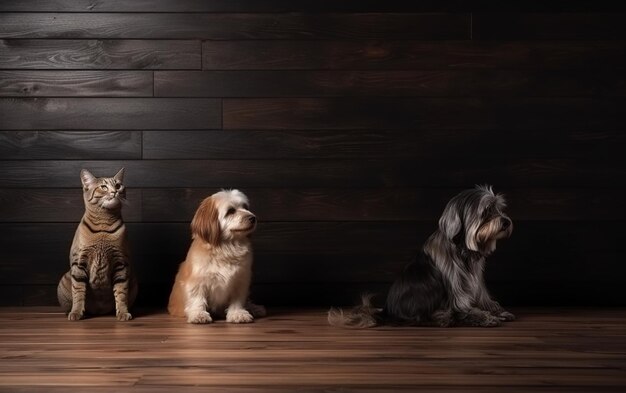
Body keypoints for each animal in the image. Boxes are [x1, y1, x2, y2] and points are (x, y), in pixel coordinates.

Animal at [57, 167, 136, 320]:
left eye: (118, 185)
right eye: (103, 187)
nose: (115, 191)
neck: (104, 224)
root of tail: (99, 311)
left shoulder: (121, 263)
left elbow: (121, 292)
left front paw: (123, 312)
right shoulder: (79, 264)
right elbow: (78, 292)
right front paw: (76, 312)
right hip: (65, 279)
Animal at [167, 189, 264, 322]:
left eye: (245, 207)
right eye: (231, 211)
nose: (253, 218)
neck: (227, 248)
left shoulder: (240, 281)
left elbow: (237, 300)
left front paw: (237, 313)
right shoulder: (197, 281)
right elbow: (197, 299)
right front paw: (199, 314)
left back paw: (254, 308)